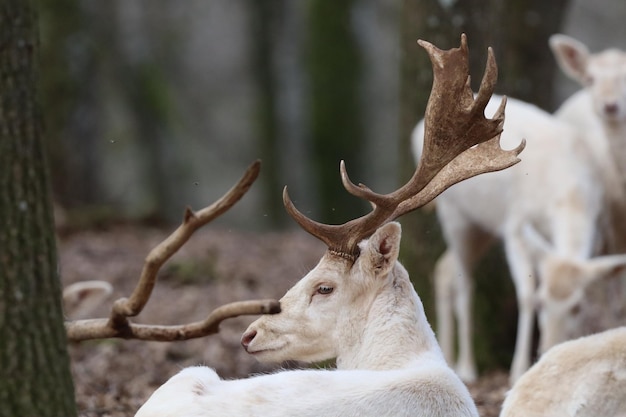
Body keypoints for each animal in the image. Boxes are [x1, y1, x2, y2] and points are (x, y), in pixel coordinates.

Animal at [412, 92, 626, 382]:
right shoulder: (515, 224)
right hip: (454, 215)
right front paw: (518, 370)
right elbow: (525, 294)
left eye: (576, 307)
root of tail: (416, 132)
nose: (547, 348)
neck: (569, 193)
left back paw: (447, 356)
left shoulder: (600, 226)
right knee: (464, 282)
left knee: (444, 269)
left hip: (483, 228)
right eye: (542, 303)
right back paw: (466, 367)